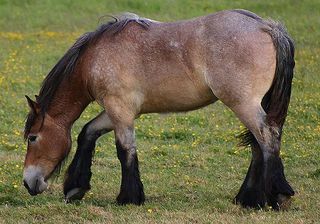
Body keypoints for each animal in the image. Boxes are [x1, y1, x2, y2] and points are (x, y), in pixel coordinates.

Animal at [23, 9, 296, 210]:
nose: (27, 183)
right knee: (259, 144)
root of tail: (266, 27)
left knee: (267, 138)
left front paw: (129, 198)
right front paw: (75, 187)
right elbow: (87, 133)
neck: (95, 57)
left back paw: (278, 195)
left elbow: (125, 150)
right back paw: (248, 199)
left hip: (244, 104)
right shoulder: (119, 111)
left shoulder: (120, 110)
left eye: (33, 137)